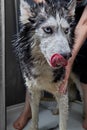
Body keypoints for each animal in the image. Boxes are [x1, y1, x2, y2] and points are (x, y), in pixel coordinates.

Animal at [14, 0, 77, 130]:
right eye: (48, 29)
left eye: (66, 30)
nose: (67, 56)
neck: (43, 67)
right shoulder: (33, 91)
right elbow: (34, 117)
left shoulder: (62, 90)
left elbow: (63, 123)